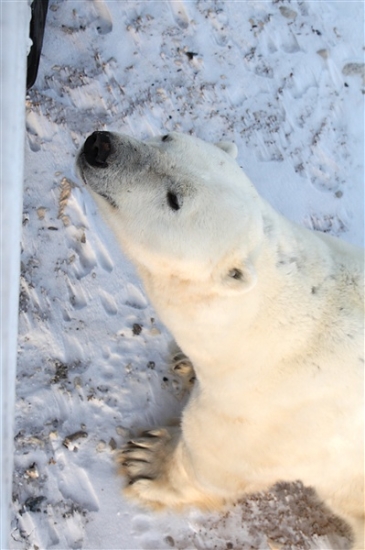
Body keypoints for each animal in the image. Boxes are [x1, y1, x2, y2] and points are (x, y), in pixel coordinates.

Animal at [76, 132, 362, 548]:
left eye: (174, 199)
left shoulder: (266, 416)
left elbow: (213, 461)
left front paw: (148, 460)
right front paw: (184, 362)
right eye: (166, 136)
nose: (100, 145)